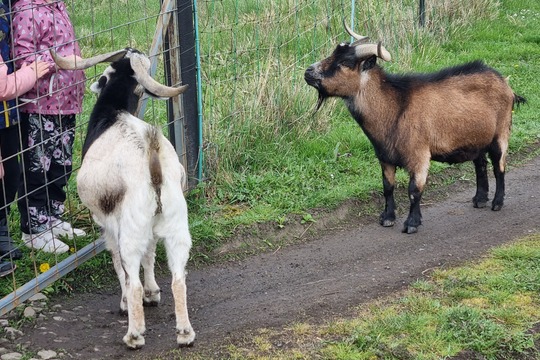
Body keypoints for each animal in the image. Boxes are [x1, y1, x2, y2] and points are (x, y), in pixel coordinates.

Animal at [51, 47, 196, 348]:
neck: (113, 114)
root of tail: (153, 167)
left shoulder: (107, 222)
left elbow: (119, 264)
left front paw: (127, 303)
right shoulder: (150, 228)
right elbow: (150, 254)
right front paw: (153, 294)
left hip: (131, 227)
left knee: (132, 274)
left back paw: (134, 335)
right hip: (177, 225)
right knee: (178, 277)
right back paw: (185, 333)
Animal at [306, 25, 524, 233]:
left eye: (345, 63)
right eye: (333, 54)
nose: (308, 72)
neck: (395, 107)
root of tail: (506, 84)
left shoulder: (419, 156)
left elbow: (414, 190)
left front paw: (411, 223)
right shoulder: (385, 156)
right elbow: (388, 187)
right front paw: (387, 218)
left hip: (501, 132)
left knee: (499, 167)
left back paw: (497, 203)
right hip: (475, 138)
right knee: (480, 164)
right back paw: (479, 199)